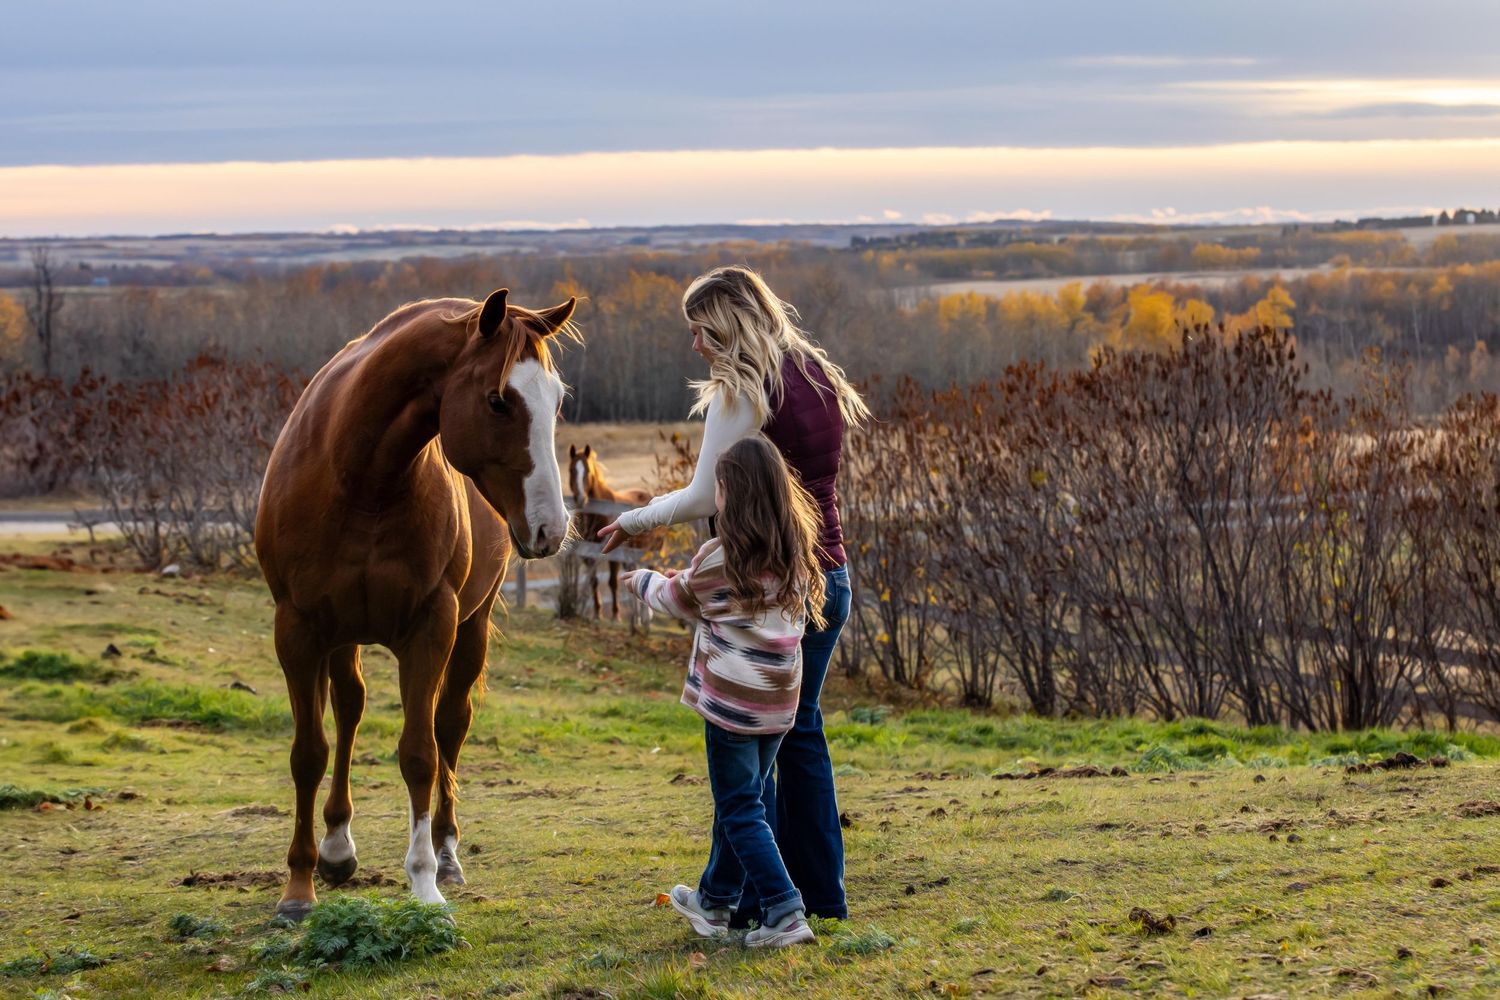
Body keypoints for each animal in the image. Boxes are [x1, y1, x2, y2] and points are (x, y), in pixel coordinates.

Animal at [254, 288, 576, 921]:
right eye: (499, 401)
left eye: (555, 402)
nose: (550, 529)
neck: (360, 481)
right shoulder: (298, 631)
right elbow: (309, 752)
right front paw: (298, 886)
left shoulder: (432, 628)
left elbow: (421, 754)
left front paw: (425, 883)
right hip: (342, 635)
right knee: (349, 711)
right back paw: (336, 848)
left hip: (471, 629)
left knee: (450, 726)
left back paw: (446, 853)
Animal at [567, 444, 651, 621]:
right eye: (571, 470)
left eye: (588, 471)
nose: (581, 499)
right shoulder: (588, 554)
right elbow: (593, 581)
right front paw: (597, 613)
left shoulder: (614, 555)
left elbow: (613, 582)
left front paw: (615, 616)